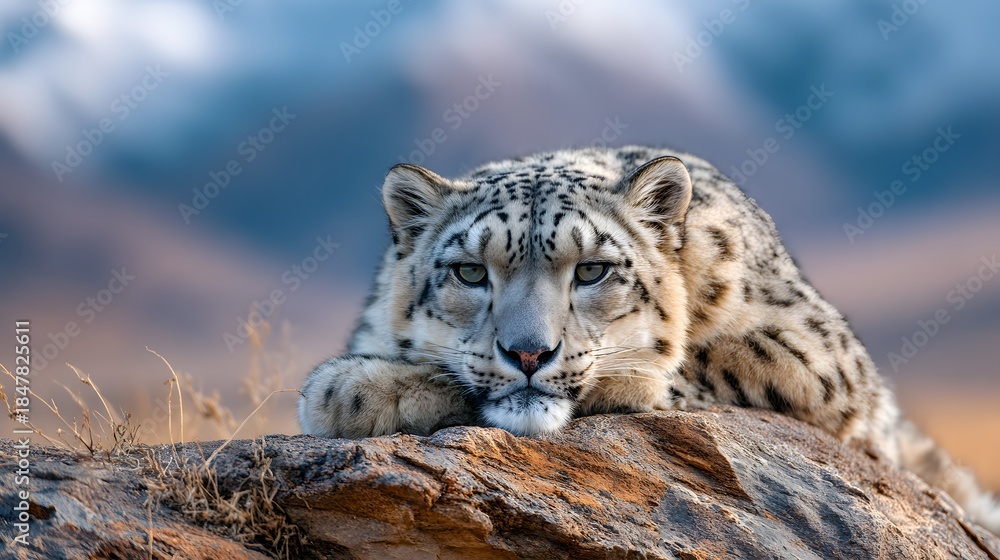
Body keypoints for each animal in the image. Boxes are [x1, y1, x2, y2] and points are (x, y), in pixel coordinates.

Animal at [298, 146, 1000, 534]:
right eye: (471, 271)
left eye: (592, 270)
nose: (529, 353)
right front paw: (349, 389)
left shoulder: (821, 359)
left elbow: (716, 356)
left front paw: (350, 389)